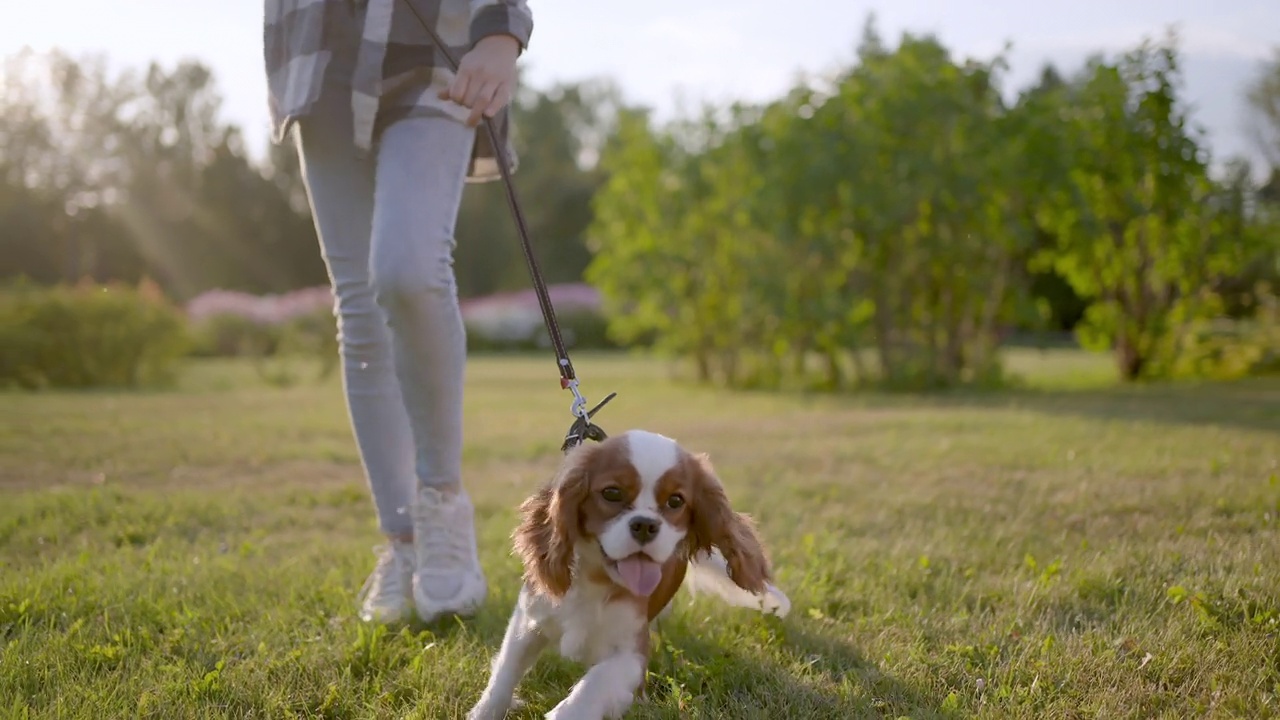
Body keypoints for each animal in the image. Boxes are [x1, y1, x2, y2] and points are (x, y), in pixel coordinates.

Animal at [471, 427, 788, 712]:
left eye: (676, 501)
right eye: (612, 493)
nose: (645, 525)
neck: (596, 580)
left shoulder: (631, 655)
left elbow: (590, 688)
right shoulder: (527, 622)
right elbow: (502, 678)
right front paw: (485, 712)